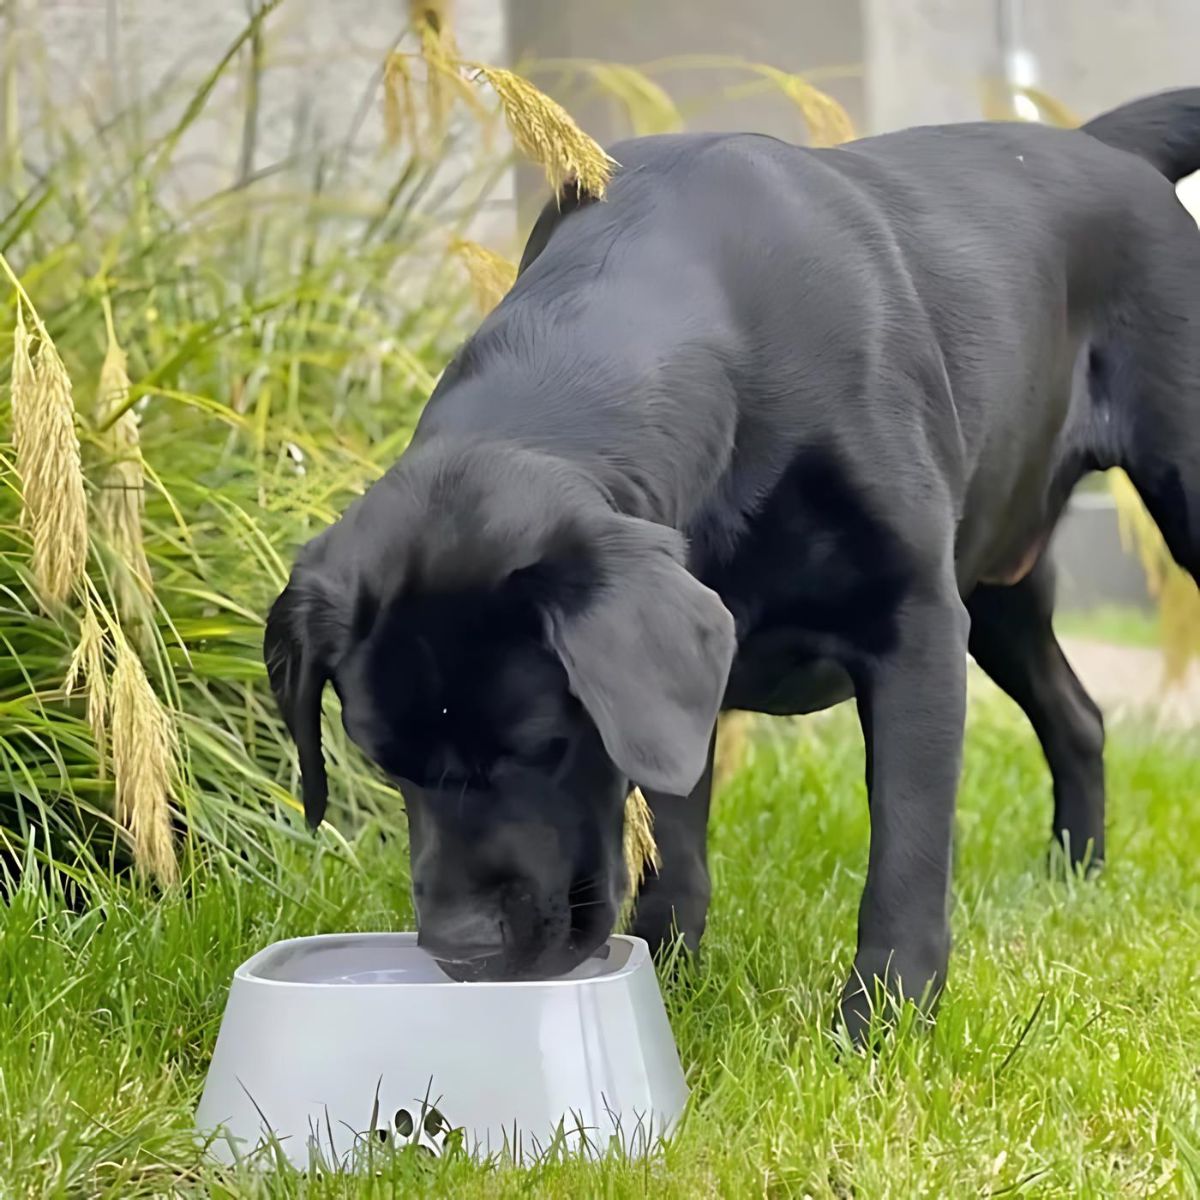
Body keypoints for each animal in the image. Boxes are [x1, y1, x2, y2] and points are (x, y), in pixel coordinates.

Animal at [270, 88, 1200, 1036]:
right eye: (385, 763)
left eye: (544, 747)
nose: (462, 954)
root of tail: (1104, 146)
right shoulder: (679, 692)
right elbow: (676, 851)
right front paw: (668, 979)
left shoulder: (915, 620)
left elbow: (906, 846)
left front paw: (882, 1022)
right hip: (1002, 585)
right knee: (1079, 717)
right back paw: (1073, 878)